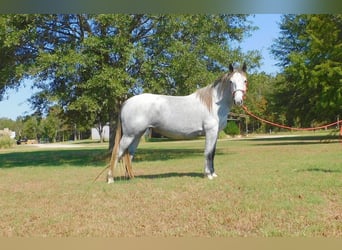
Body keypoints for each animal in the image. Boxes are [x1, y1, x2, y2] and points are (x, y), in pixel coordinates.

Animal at [107, 63, 248, 184]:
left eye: (245, 81)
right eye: (231, 81)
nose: (238, 101)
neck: (213, 104)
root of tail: (126, 102)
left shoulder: (216, 133)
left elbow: (212, 153)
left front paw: (213, 173)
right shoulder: (210, 131)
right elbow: (208, 153)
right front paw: (208, 175)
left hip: (137, 135)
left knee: (129, 154)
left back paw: (130, 177)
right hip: (129, 135)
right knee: (118, 152)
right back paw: (110, 179)